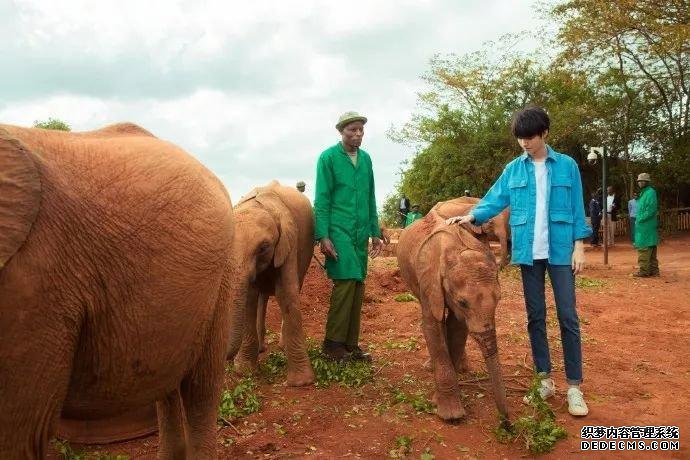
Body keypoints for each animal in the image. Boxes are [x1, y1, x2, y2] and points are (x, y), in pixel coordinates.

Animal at [230, 181, 315, 386]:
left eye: (264, 247)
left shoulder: (289, 243)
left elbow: (287, 295)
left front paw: (301, 383)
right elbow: (249, 298)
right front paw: (244, 371)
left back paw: (282, 347)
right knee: (261, 297)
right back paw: (261, 348)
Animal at [396, 207, 509, 423]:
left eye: (499, 299)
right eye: (462, 302)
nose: (507, 424)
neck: (456, 250)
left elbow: (457, 328)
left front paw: (438, 400)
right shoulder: (429, 280)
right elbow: (432, 326)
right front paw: (451, 415)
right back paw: (430, 367)